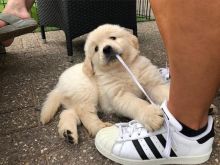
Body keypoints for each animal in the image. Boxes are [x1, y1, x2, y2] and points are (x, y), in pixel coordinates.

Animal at [40, 23, 169, 144]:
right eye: (96, 48)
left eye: (113, 37)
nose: (106, 49)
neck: (122, 68)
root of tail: (59, 85)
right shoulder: (120, 96)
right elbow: (137, 103)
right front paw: (151, 116)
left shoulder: (153, 83)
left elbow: (162, 92)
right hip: (87, 91)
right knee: (85, 113)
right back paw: (99, 127)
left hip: (74, 100)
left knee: (67, 113)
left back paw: (68, 133)